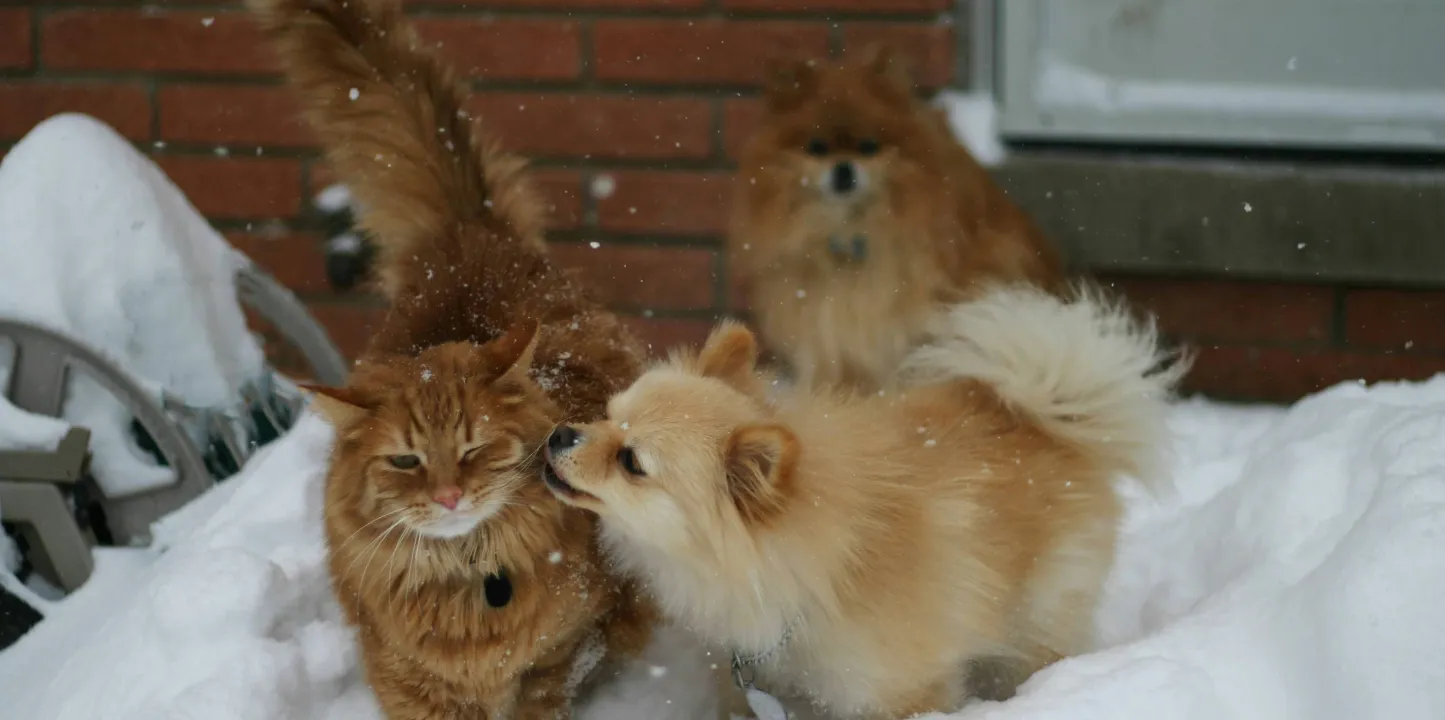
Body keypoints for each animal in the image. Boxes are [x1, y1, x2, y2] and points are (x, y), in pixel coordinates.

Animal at [249, 0, 656, 714]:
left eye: (474, 449)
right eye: (405, 461)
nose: (447, 497)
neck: (471, 580)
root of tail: (468, 233)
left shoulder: (564, 653)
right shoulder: (409, 681)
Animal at [543, 283, 1184, 717]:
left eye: (632, 462)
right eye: (606, 415)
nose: (559, 435)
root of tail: (1046, 418)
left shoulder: (900, 691)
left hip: (1039, 623)